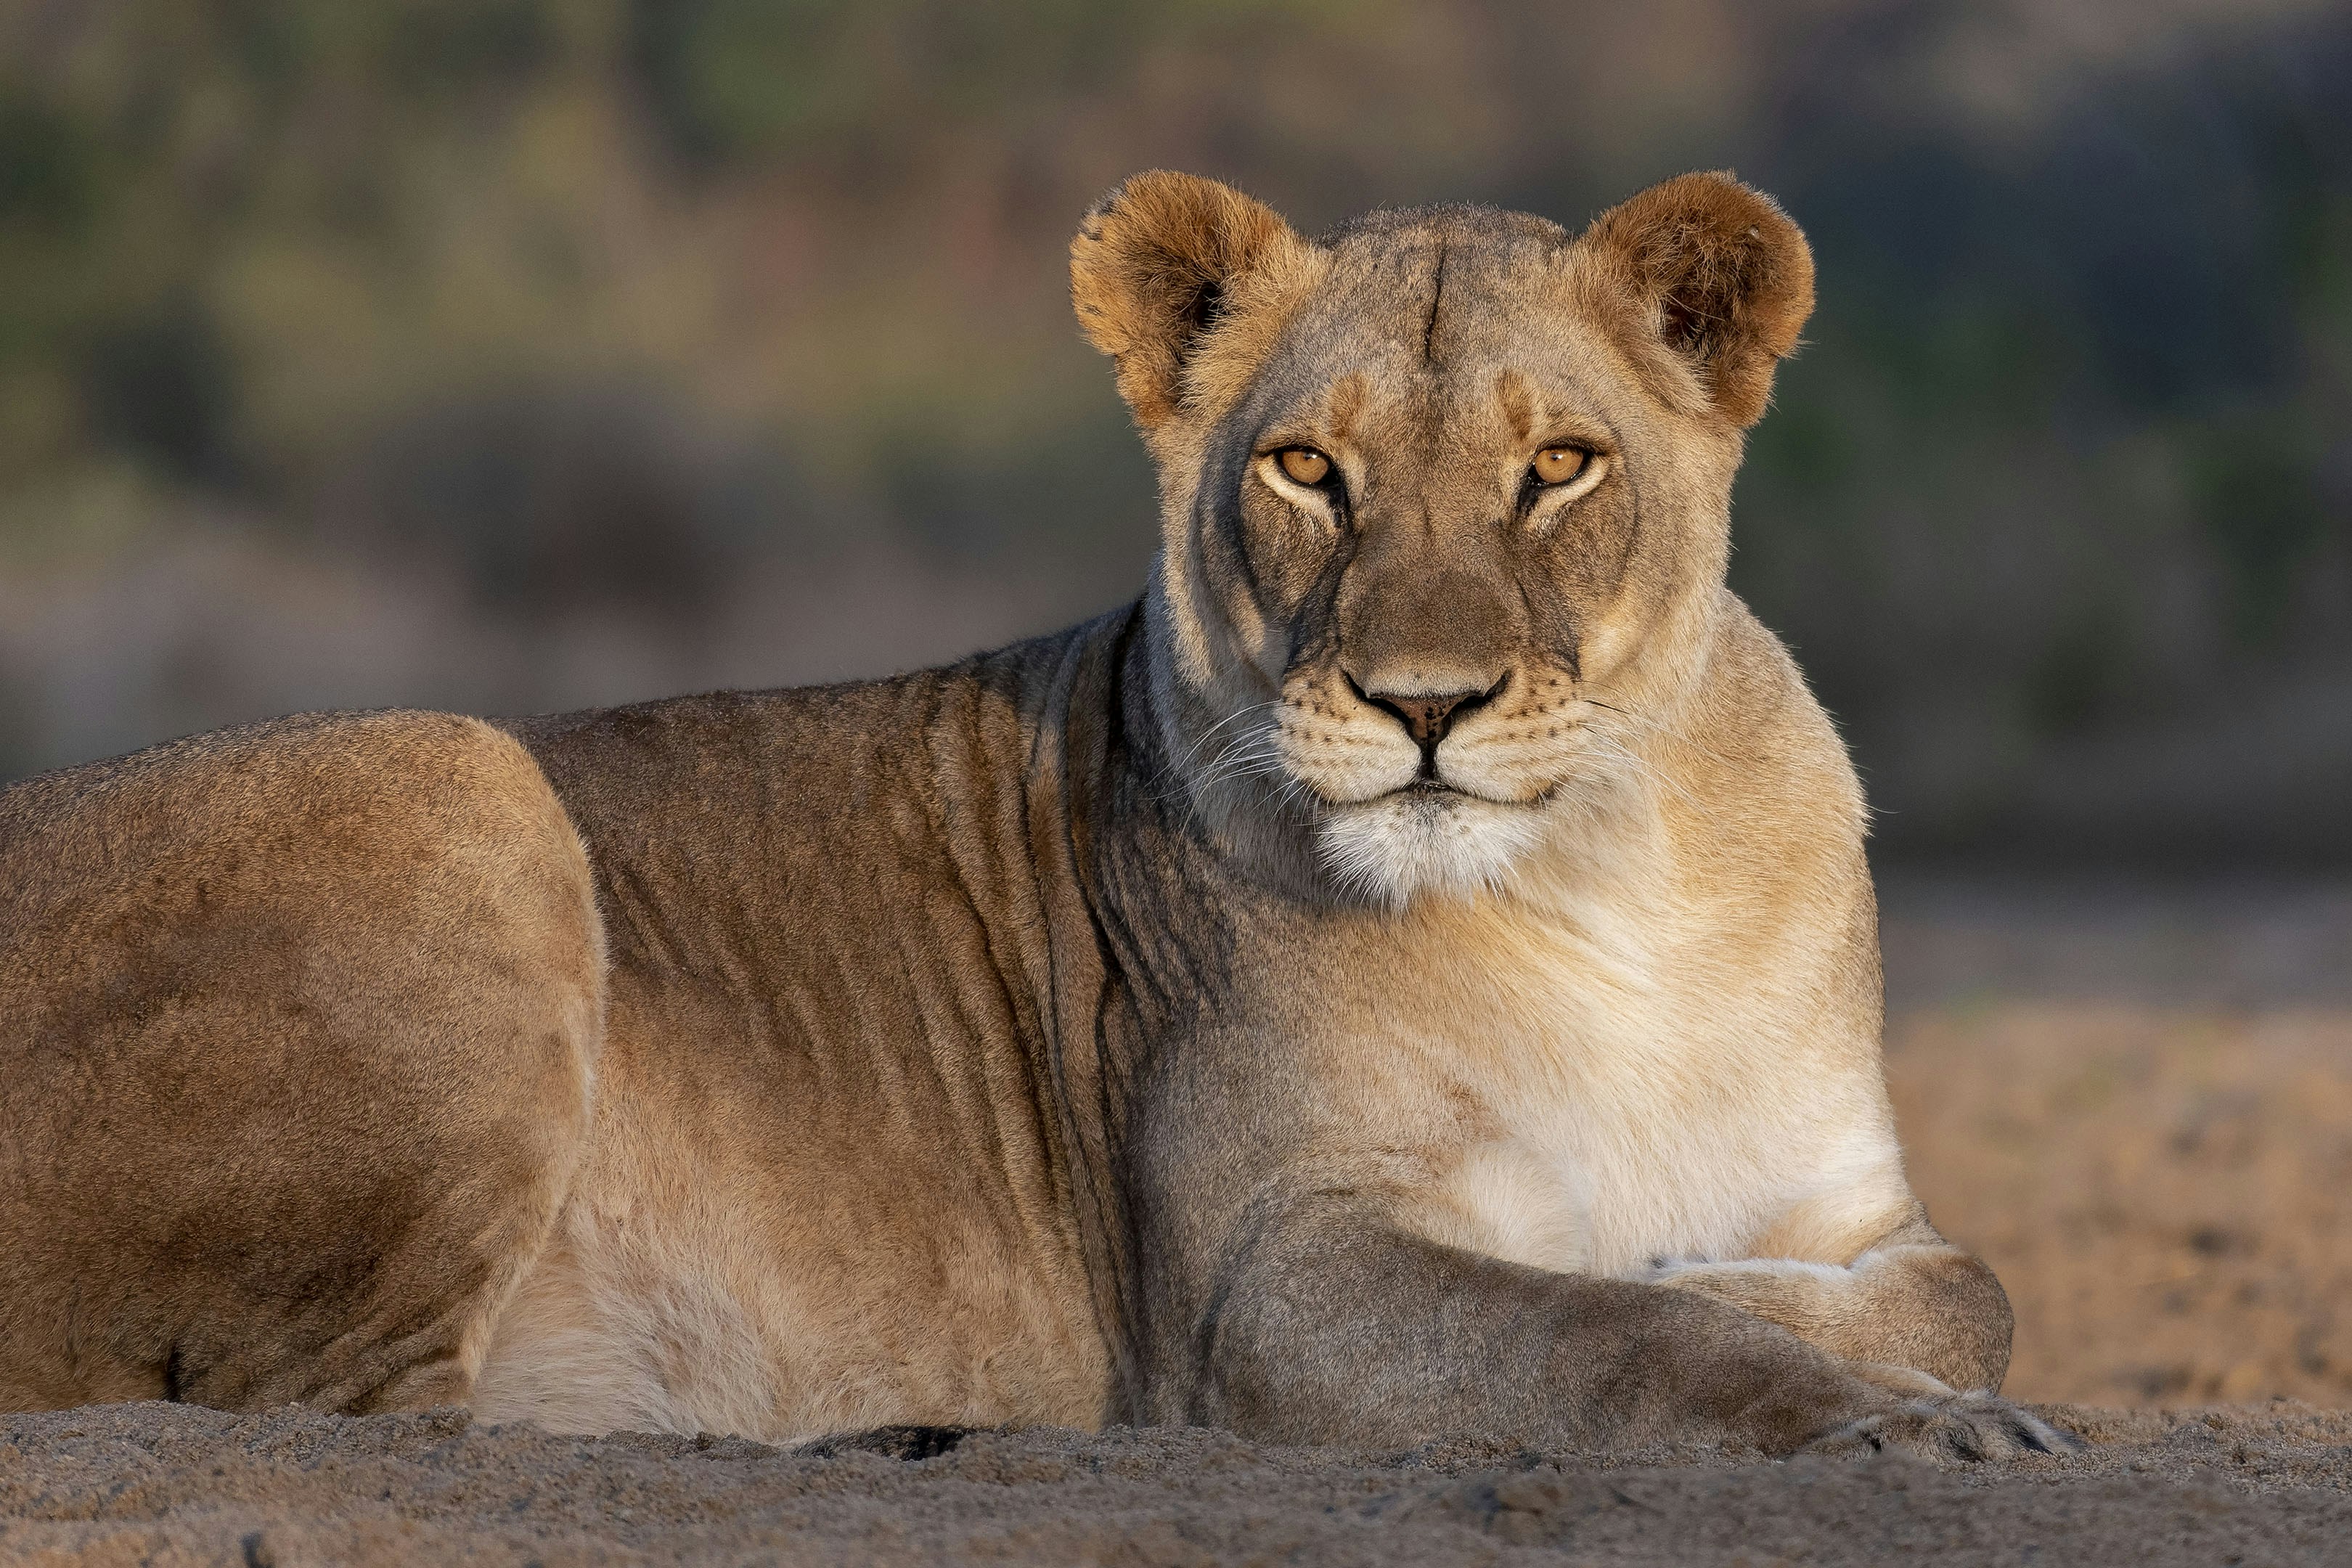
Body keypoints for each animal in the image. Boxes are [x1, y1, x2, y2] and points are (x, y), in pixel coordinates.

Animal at [0, 170, 2065, 1460]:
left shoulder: (1850, 1197)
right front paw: (1873, 1414)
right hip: (460, 778)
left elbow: (1958, 1292)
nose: (1423, 707)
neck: (1593, 884)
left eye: (1558, 465)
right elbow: (1613, 1323)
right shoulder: (1250, 1283)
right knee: (350, 1414)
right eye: (1305, 470)